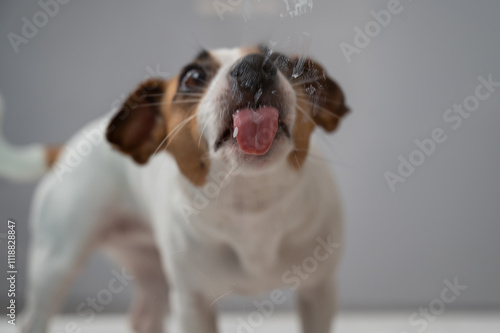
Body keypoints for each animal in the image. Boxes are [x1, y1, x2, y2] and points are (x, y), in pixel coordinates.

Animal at [0, 44, 350, 332]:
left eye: (280, 60)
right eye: (193, 77)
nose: (254, 65)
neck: (251, 206)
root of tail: (66, 149)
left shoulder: (318, 293)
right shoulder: (193, 304)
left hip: (152, 272)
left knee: (144, 317)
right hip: (55, 265)